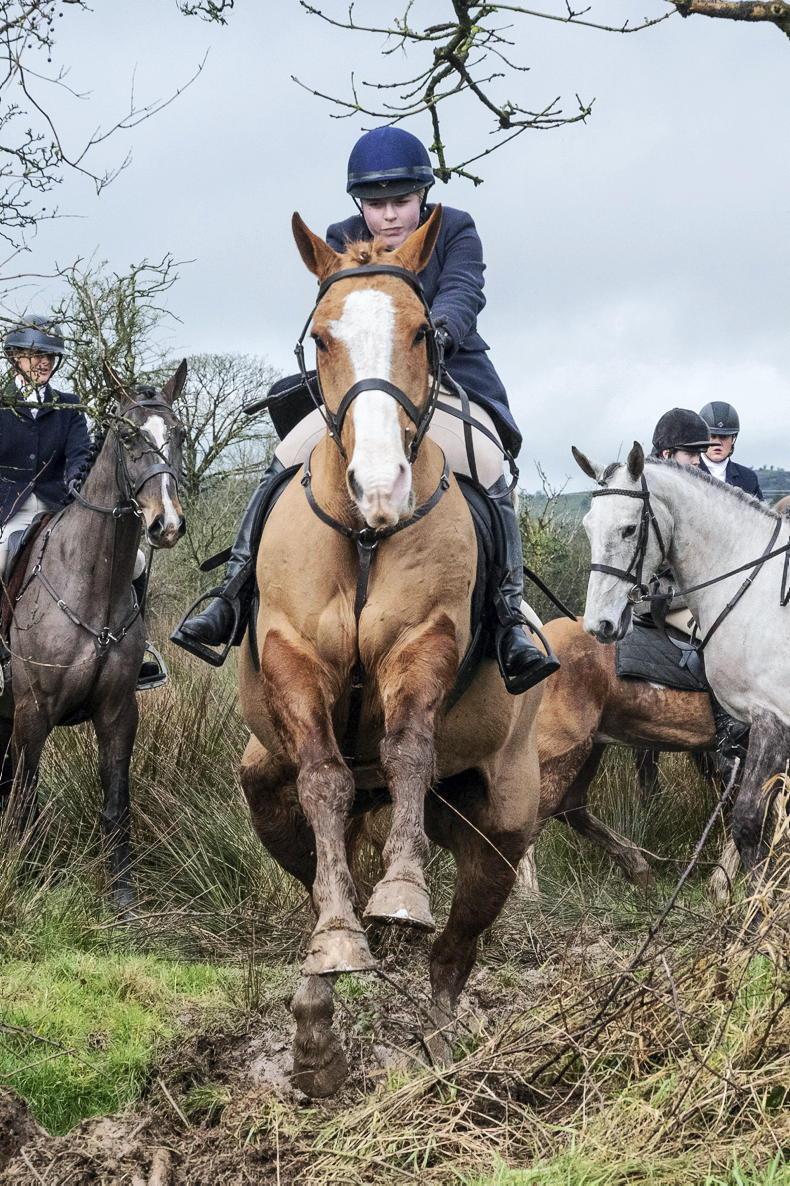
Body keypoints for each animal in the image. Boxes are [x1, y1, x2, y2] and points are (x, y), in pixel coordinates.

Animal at [0, 364, 187, 910]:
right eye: (128, 437)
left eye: (179, 435)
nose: (167, 524)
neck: (92, 587)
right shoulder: (32, 712)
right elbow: (25, 798)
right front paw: (23, 878)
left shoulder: (118, 712)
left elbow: (116, 803)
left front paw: (122, 894)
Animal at [238, 208, 544, 1097]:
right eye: (322, 338)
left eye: (422, 332)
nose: (381, 488)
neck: (365, 535)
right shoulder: (292, 654)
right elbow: (324, 780)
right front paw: (342, 941)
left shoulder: (423, 640)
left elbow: (409, 747)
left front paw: (401, 891)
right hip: (265, 790)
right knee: (322, 863)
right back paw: (319, 1025)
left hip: (501, 826)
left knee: (452, 956)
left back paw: (442, 1056)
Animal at [518, 615, 741, 902]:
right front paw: (722, 888)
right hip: (564, 745)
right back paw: (528, 898)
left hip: (590, 746)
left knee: (571, 806)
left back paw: (638, 868)